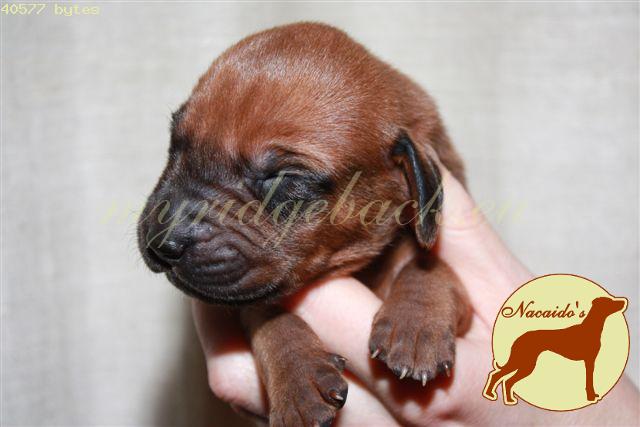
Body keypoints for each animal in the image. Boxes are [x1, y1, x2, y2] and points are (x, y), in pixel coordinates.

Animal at [138, 22, 470, 426]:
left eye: (284, 179)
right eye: (175, 145)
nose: (160, 242)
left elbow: (430, 265)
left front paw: (416, 326)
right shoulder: (245, 297)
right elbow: (266, 315)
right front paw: (297, 380)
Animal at [483, 296, 627, 405]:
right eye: (610, 301)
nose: (624, 302)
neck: (591, 328)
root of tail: (519, 338)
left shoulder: (589, 361)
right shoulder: (589, 361)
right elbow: (589, 381)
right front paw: (591, 397)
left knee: (503, 379)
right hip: (524, 363)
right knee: (501, 377)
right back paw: (496, 396)